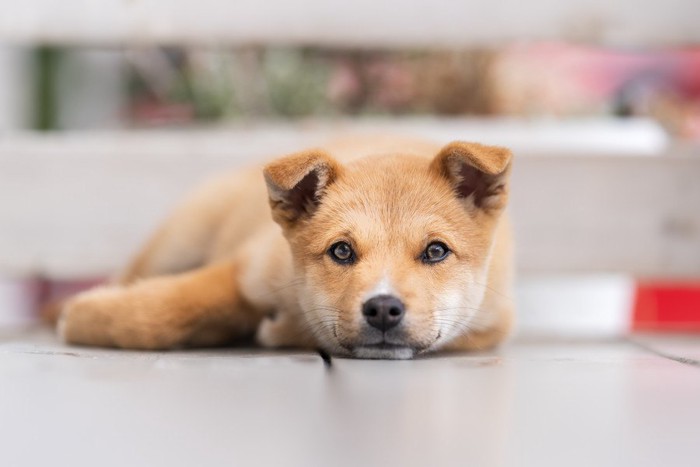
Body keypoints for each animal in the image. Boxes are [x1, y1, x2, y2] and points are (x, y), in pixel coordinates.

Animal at [56, 135, 516, 358]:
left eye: (436, 251)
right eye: (341, 251)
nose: (383, 308)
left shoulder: (490, 324)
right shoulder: (247, 265)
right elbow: (163, 313)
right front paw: (84, 317)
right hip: (177, 239)